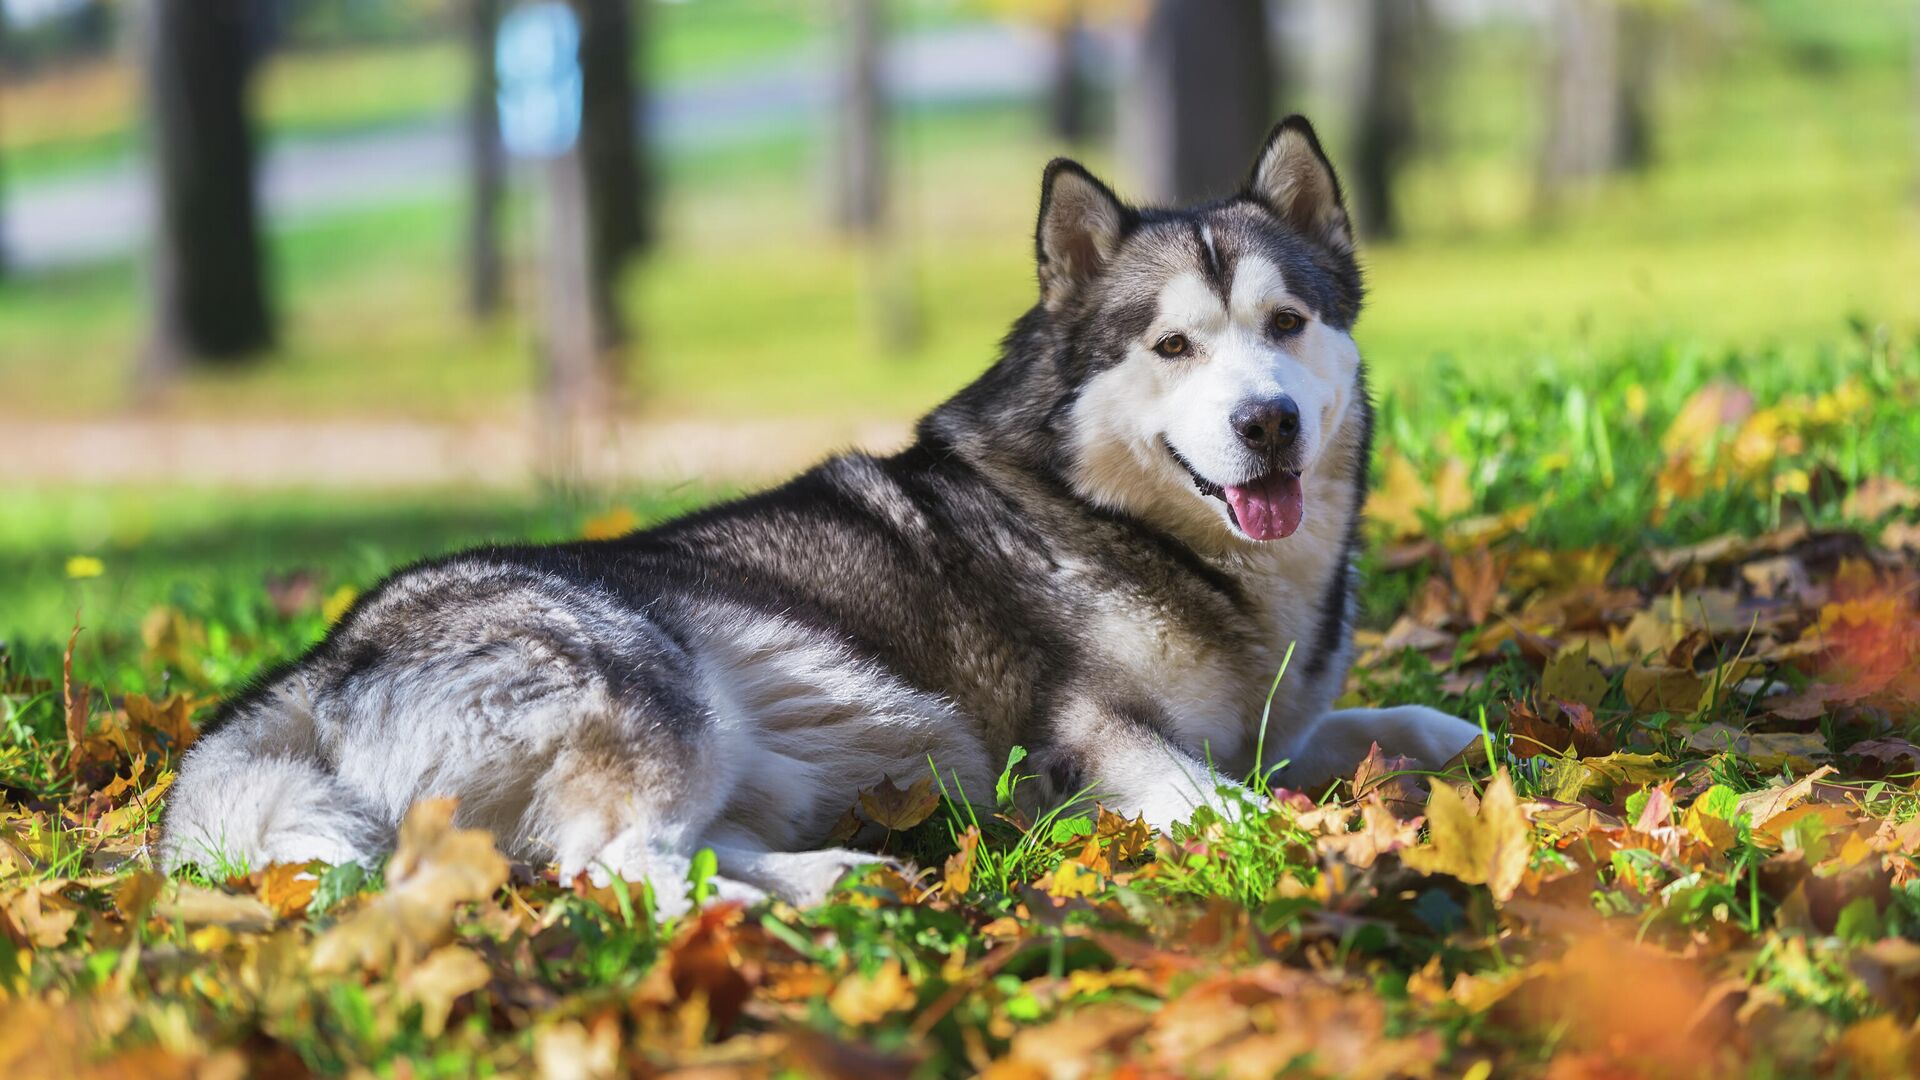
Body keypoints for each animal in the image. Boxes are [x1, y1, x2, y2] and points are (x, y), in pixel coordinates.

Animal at [165, 115, 1482, 907]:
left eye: (1286, 325)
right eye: (1173, 347)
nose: (1268, 424)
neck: (1128, 525)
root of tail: (321, 657)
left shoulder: (1273, 722)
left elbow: (1386, 719)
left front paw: (1462, 741)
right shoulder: (1088, 745)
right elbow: (1228, 802)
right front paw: (1325, 844)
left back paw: (840, 880)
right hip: (648, 685)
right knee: (618, 868)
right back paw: (783, 912)